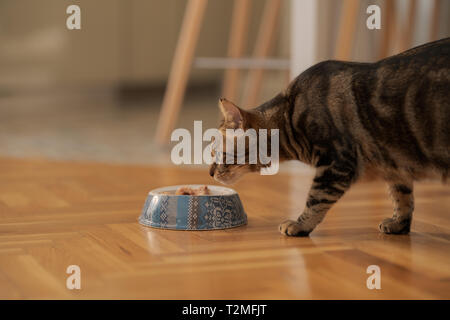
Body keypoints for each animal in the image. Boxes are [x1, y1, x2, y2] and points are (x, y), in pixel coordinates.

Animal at [209, 38, 448, 238]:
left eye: (218, 153)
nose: (210, 173)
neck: (289, 118)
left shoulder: (336, 163)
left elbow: (316, 199)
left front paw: (300, 225)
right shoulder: (394, 162)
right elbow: (402, 196)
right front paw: (400, 223)